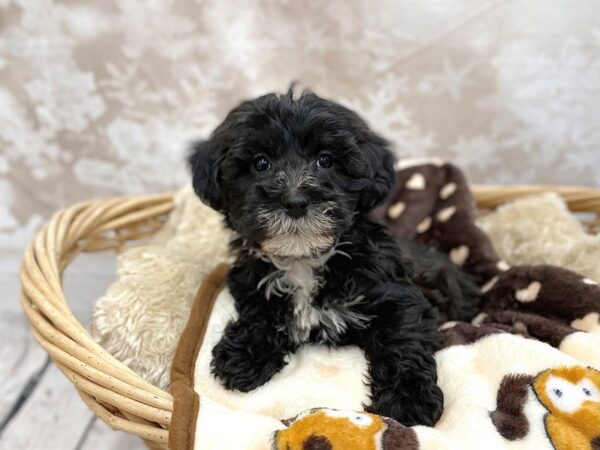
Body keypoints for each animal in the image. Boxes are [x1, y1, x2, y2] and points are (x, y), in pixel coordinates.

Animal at [190, 89, 480, 428]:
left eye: (325, 160)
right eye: (261, 163)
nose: (295, 200)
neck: (304, 260)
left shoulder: (397, 294)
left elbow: (403, 338)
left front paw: (409, 399)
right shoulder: (251, 283)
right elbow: (259, 313)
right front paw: (242, 356)